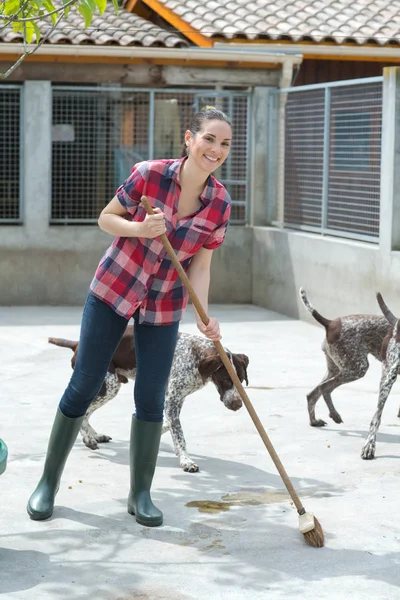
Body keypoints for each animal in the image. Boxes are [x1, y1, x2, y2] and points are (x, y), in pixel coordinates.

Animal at [48, 326, 248, 472]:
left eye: (241, 382)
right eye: (226, 379)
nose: (238, 405)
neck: (194, 356)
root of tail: (78, 344)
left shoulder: (177, 399)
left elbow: (169, 425)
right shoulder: (172, 400)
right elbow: (179, 433)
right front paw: (186, 460)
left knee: (86, 412)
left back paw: (95, 435)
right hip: (107, 385)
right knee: (83, 410)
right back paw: (89, 439)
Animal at [300, 288, 390, 428]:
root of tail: (331, 323)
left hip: (335, 369)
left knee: (312, 394)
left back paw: (314, 421)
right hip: (357, 368)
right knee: (324, 388)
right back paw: (335, 415)